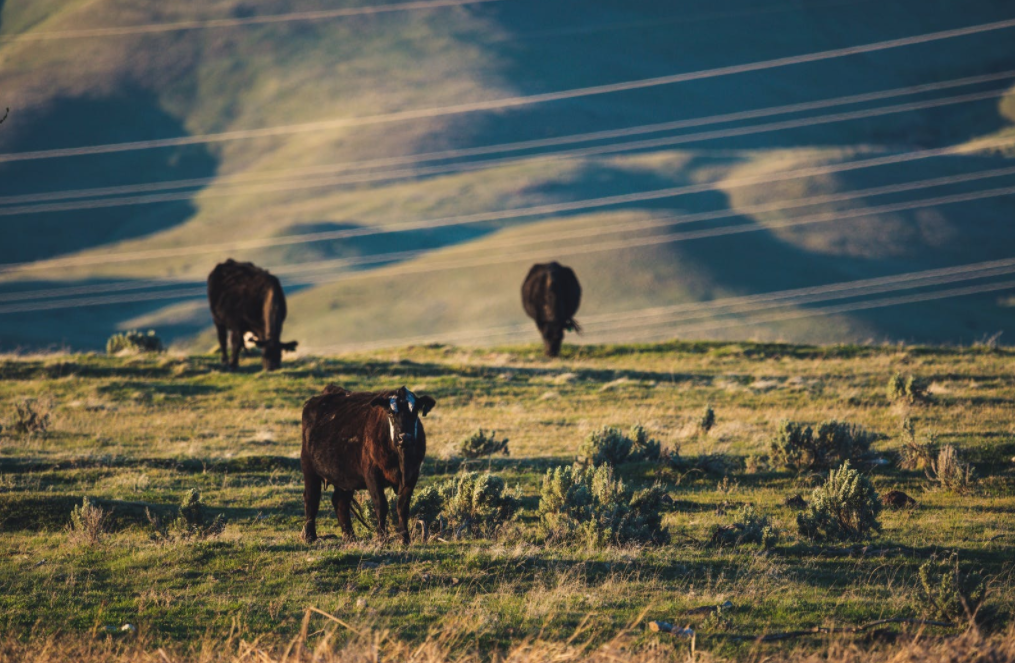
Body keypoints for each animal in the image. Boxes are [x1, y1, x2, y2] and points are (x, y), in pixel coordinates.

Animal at [296, 381, 432, 544]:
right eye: (391, 413)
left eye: (415, 412)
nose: (404, 437)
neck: (400, 460)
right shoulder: (372, 474)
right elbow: (381, 505)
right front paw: (382, 537)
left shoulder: (412, 475)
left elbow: (402, 507)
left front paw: (405, 538)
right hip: (309, 468)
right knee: (311, 498)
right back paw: (310, 536)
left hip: (344, 476)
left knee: (340, 501)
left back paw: (349, 536)